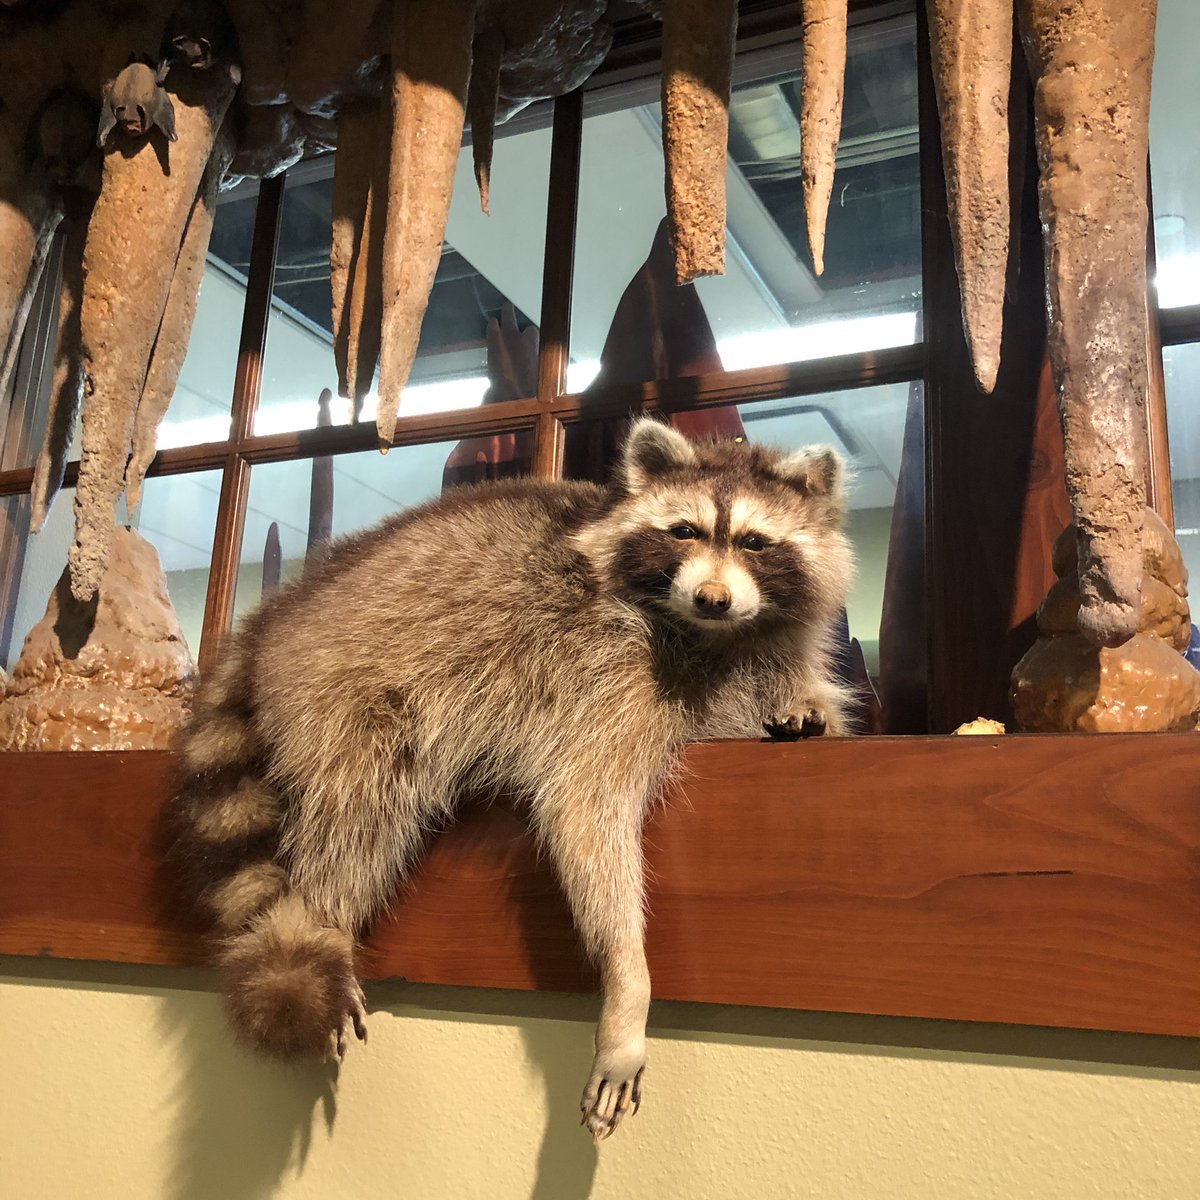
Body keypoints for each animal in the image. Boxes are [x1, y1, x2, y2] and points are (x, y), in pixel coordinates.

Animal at [169, 418, 854, 1140]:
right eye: (684, 531)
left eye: (755, 541)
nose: (712, 599)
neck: (713, 635)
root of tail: (277, 614)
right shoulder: (612, 670)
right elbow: (584, 808)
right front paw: (627, 985)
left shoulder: (753, 662)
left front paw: (808, 712)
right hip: (341, 692)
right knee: (359, 814)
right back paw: (325, 913)